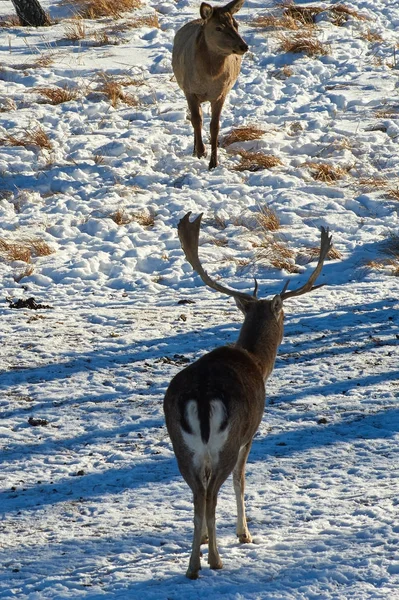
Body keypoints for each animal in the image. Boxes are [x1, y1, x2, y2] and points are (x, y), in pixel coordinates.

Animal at [163, 212, 334, 580]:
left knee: (197, 493)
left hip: (180, 444)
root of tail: (201, 396)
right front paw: (244, 534)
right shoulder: (250, 433)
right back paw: (214, 560)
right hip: (228, 440)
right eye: (283, 313)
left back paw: (193, 565)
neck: (257, 361)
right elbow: (240, 481)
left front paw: (203, 540)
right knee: (212, 492)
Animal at [173, 1, 248, 170]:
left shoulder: (221, 93)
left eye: (236, 24)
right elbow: (196, 120)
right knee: (196, 117)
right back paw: (196, 150)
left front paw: (213, 162)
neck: (208, 78)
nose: (244, 46)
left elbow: (215, 126)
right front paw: (201, 151)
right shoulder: (189, 90)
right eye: (218, 28)